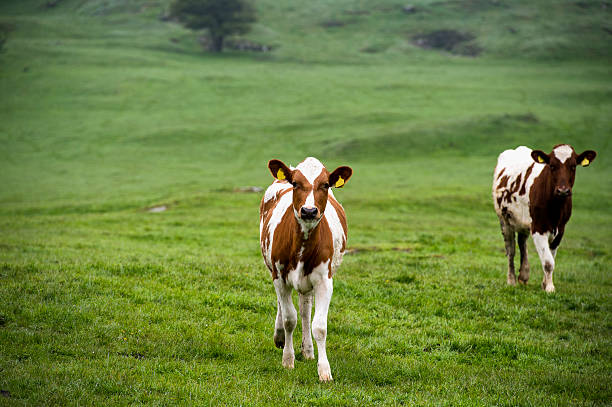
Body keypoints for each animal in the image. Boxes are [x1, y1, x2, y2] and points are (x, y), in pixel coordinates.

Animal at [260, 157, 354, 382]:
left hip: (308, 282)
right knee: (285, 307)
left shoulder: (324, 281)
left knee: (305, 310)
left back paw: (308, 350)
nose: (309, 211)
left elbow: (319, 326)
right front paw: (288, 360)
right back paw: (280, 337)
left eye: (325, 184)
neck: (302, 243)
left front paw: (324, 370)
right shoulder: (280, 277)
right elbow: (289, 318)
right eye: (295, 184)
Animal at [492, 145, 596, 292]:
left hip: (523, 222)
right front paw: (550, 288)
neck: (555, 208)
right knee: (511, 250)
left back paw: (524, 275)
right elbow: (548, 262)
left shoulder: (560, 230)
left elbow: (551, 258)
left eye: (573, 166)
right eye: (552, 166)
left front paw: (545, 284)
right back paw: (511, 280)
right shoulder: (538, 228)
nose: (563, 190)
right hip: (505, 221)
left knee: (522, 243)